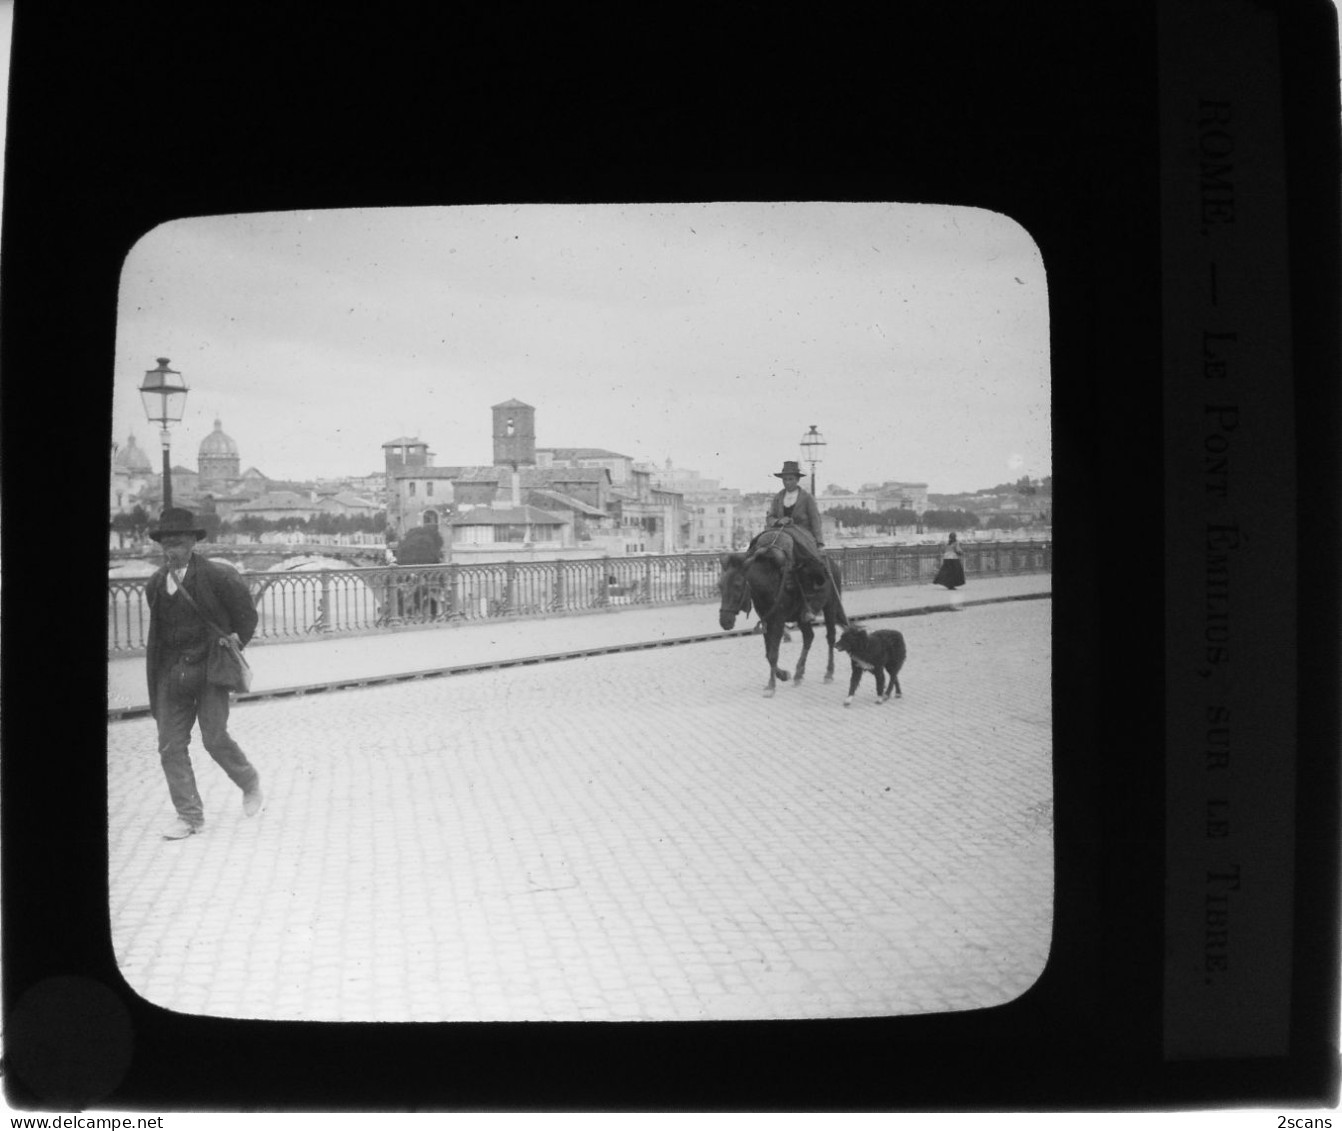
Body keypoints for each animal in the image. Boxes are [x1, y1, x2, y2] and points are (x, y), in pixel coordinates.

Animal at [713, 531, 848, 697]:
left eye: (738, 585)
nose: (725, 621)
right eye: (720, 585)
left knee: (830, 637)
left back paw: (828, 673)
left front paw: (771, 686)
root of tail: (833, 566)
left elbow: (773, 654)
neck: (769, 582)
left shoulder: (778, 621)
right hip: (802, 617)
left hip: (830, 607)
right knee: (809, 637)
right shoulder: (766, 621)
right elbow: (768, 653)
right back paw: (798, 674)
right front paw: (783, 675)